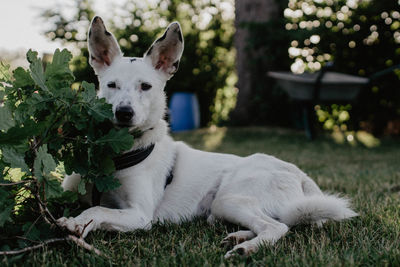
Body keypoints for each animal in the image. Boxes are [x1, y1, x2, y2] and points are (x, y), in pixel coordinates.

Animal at [57, 16, 358, 258]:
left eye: (145, 86)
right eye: (111, 85)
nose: (124, 112)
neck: (118, 154)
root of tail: (300, 175)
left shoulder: (140, 215)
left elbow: (98, 211)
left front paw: (77, 222)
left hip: (228, 199)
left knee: (279, 226)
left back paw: (246, 248)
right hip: (222, 209)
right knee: (274, 222)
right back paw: (238, 236)